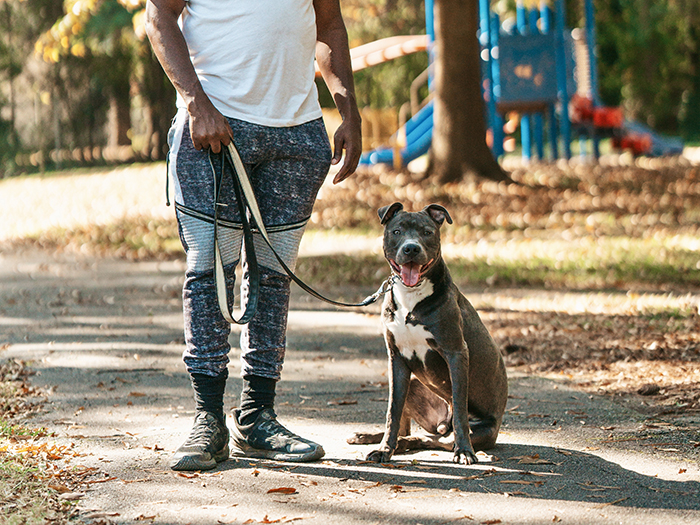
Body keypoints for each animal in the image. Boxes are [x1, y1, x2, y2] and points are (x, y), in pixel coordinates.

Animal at [352, 202, 506, 462]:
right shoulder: (396, 359)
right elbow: (392, 411)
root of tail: (442, 424)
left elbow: (461, 410)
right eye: (396, 231)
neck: (411, 296)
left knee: (433, 439)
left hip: (477, 429)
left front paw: (465, 452)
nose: (411, 248)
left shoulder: (456, 353)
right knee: (408, 430)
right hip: (413, 383)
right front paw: (384, 449)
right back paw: (373, 438)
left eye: (427, 232)